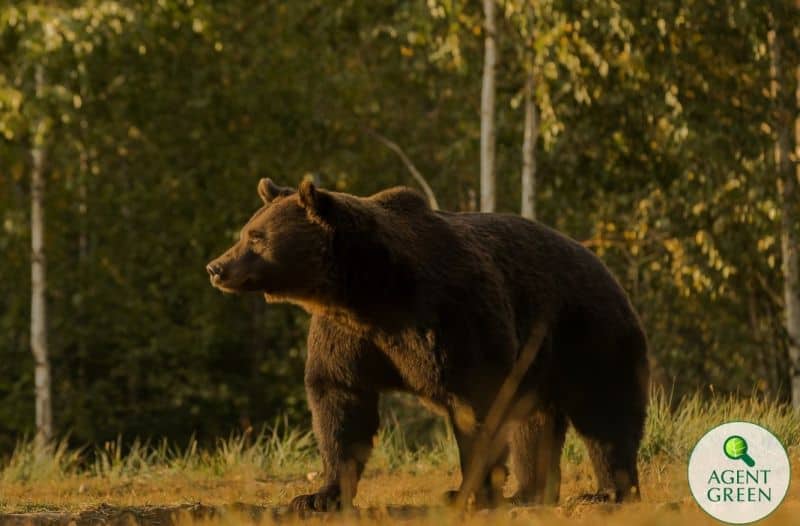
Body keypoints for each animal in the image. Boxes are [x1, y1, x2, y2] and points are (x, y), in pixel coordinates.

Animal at [206, 179, 648, 512]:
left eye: (256, 237)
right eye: (246, 231)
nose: (216, 267)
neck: (370, 292)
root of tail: (602, 265)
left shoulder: (451, 316)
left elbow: (478, 404)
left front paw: (468, 492)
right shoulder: (347, 336)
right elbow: (339, 402)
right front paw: (318, 495)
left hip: (587, 332)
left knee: (606, 412)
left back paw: (608, 491)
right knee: (535, 424)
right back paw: (529, 493)